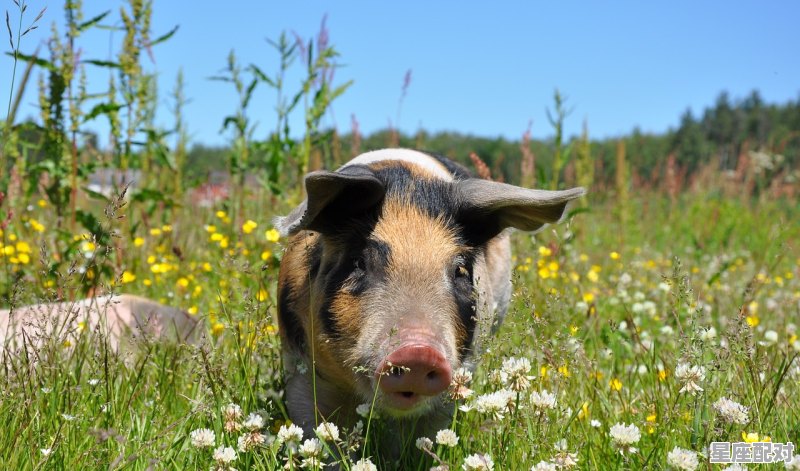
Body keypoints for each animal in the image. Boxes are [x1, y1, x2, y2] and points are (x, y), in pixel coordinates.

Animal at [274, 149, 580, 452]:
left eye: (460, 270)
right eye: (359, 262)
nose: (419, 351)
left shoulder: (458, 373)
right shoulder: (299, 366)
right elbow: (317, 432)